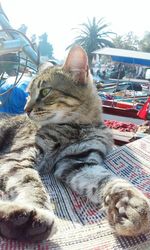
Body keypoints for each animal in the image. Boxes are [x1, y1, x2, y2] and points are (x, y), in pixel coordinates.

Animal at [0, 46, 149, 241]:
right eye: (28, 94)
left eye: (45, 92)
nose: (26, 109)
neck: (77, 127)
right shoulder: (18, 156)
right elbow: (30, 183)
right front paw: (37, 210)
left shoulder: (77, 161)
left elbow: (108, 179)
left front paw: (130, 202)